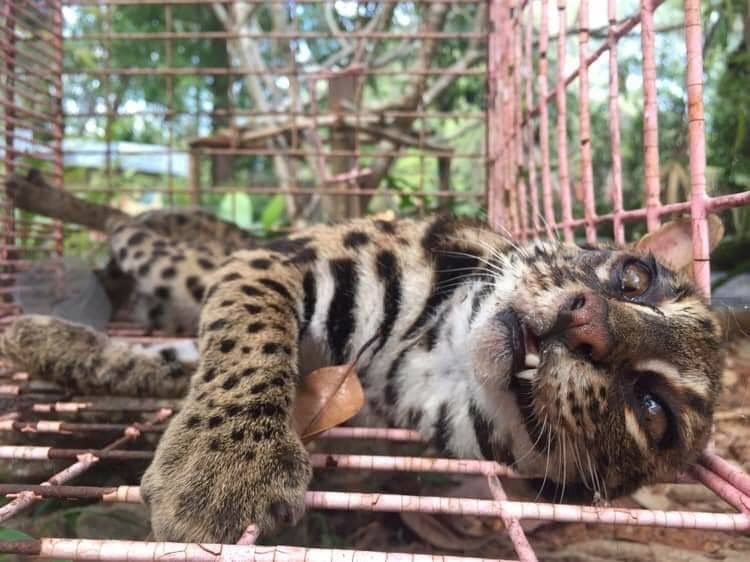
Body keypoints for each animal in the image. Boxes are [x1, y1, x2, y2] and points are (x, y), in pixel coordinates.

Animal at [0, 208, 728, 540]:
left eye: (653, 410)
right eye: (633, 278)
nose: (588, 322)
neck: (443, 360)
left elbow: (179, 364)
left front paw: (217, 468)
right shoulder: (286, 261)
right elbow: (242, 336)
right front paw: (222, 466)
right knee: (151, 242)